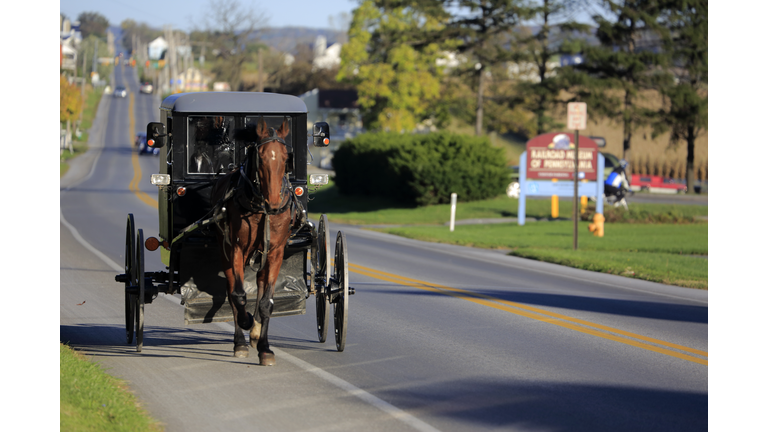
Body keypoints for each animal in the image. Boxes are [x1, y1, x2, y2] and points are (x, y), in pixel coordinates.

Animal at [212, 117, 296, 364]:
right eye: (261, 155)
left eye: (286, 157)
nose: (274, 202)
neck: (260, 208)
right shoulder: (237, 248)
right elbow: (238, 296)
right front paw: (246, 321)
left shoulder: (276, 252)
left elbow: (267, 302)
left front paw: (265, 347)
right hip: (224, 249)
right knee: (231, 291)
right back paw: (240, 340)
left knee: (259, 284)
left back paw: (256, 334)